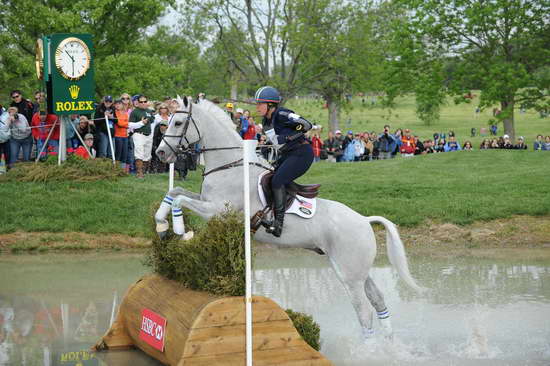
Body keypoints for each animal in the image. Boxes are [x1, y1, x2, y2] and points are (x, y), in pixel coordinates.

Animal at [156, 96, 426, 340]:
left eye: (178, 122)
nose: (160, 153)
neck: (230, 166)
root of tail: (364, 220)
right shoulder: (205, 201)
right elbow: (174, 192)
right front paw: (162, 225)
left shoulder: (215, 210)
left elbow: (180, 200)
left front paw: (181, 232)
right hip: (357, 270)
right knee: (378, 301)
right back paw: (388, 345)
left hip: (349, 274)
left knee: (364, 312)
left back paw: (366, 351)